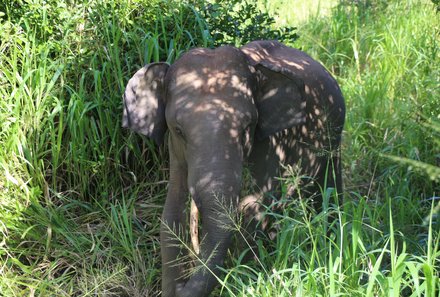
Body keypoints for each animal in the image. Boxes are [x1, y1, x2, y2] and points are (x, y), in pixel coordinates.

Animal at [122, 40, 346, 296]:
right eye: (178, 130)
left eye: (247, 127)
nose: (182, 286)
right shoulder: (175, 152)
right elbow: (171, 214)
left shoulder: (269, 140)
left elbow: (254, 207)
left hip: (334, 133)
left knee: (329, 186)